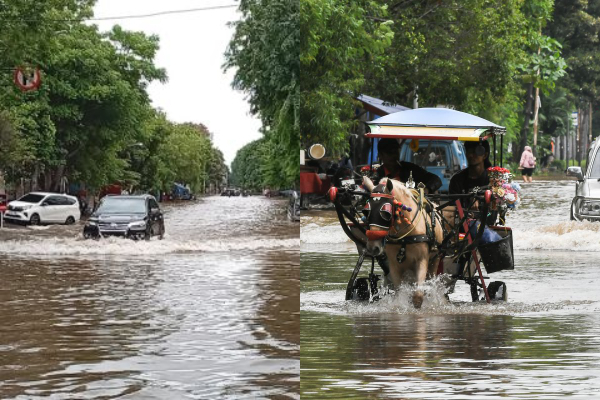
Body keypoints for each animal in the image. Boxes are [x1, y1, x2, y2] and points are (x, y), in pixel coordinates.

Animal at [364, 177, 442, 308]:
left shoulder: (422, 260)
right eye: (366, 211)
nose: (372, 247)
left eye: (386, 212)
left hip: (435, 261)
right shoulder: (393, 264)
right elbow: (399, 294)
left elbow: (418, 297)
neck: (406, 235)